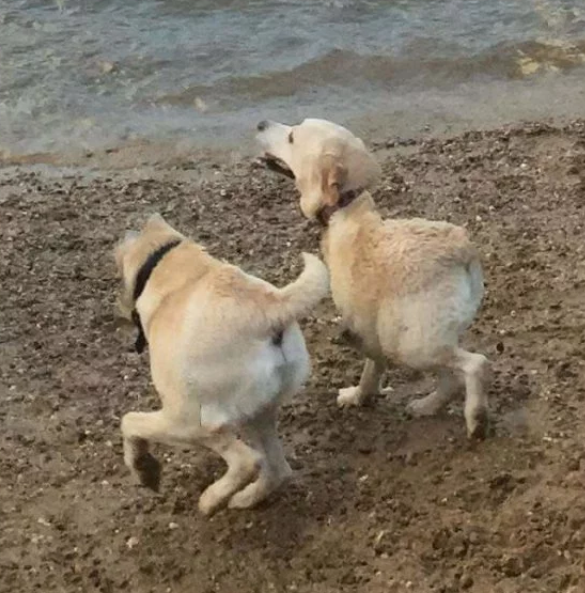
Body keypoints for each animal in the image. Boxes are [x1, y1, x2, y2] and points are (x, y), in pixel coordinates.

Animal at [114, 214, 328, 512]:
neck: (168, 262)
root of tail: (271, 307)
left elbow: (129, 423)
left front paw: (144, 469)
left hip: (195, 423)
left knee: (246, 461)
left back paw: (211, 500)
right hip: (256, 413)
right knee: (277, 469)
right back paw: (244, 498)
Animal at [258, 118, 490, 438]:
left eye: (292, 136)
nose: (260, 123)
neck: (344, 208)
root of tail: (462, 250)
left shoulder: (363, 323)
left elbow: (371, 364)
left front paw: (359, 395)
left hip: (409, 342)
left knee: (475, 364)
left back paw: (475, 416)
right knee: (451, 376)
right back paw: (428, 405)